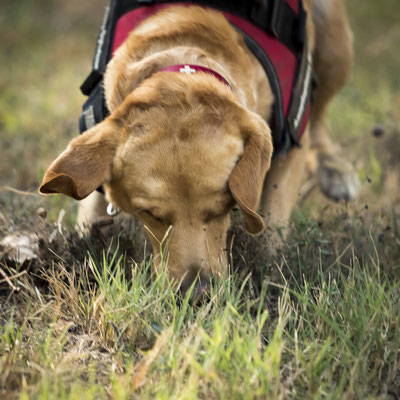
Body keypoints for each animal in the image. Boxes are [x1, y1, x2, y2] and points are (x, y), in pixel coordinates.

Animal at [39, 0, 360, 294]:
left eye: (223, 207)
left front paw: (268, 275)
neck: (182, 57)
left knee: (320, 112)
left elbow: (271, 223)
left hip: (334, 42)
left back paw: (335, 169)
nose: (198, 292)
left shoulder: (291, 144)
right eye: (150, 214)